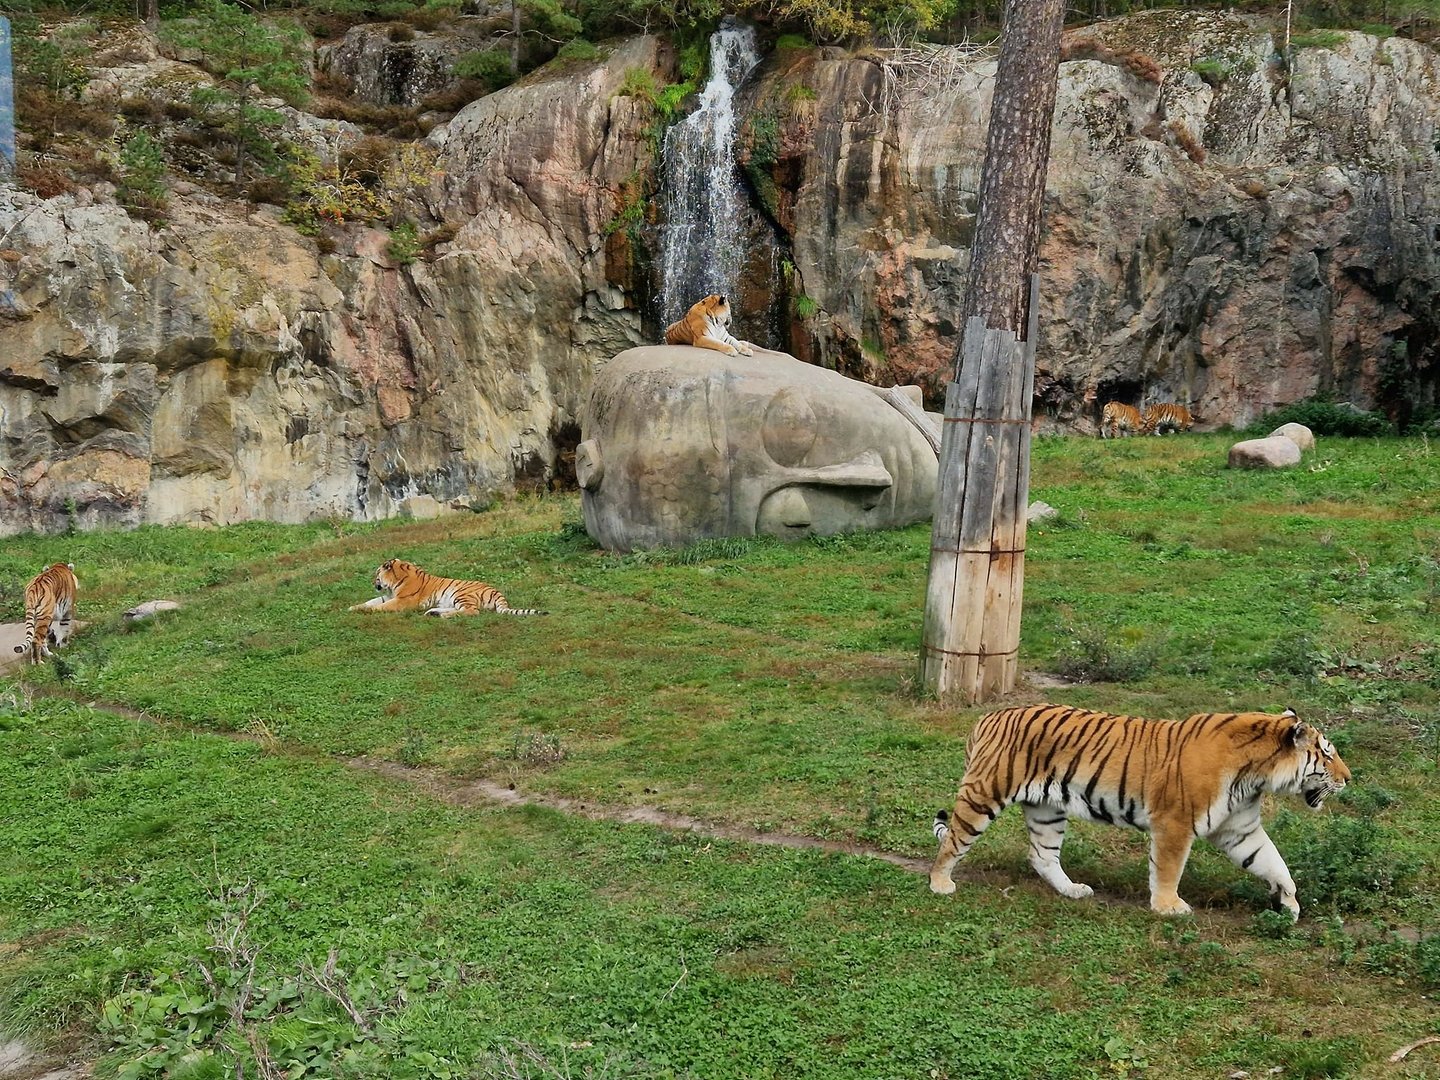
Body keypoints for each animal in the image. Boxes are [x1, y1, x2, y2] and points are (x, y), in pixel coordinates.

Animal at [349, 559, 546, 618]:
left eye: (377, 573)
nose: (373, 583)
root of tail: (498, 592)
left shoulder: (402, 601)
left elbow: (381, 606)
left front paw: (367, 610)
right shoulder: (390, 596)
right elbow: (372, 601)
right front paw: (353, 607)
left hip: (461, 594)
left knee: (471, 611)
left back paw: (441, 616)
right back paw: (434, 613)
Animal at [928, 704, 1350, 921]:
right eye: (1327, 754)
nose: (1349, 778)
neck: (1257, 775)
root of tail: (988, 717)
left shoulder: (1240, 829)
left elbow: (1273, 862)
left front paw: (1289, 903)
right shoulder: (1175, 823)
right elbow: (1168, 869)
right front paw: (1168, 907)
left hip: (1047, 809)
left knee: (1042, 856)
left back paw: (1072, 891)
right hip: (984, 795)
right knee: (953, 841)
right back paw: (939, 883)